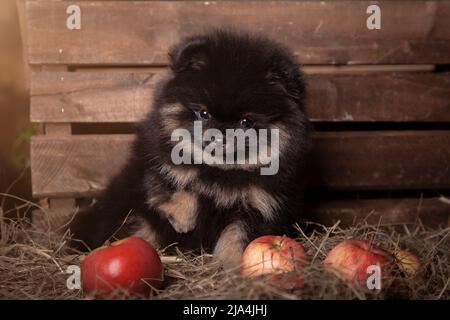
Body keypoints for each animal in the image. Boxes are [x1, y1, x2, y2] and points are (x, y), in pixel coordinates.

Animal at [69, 29, 310, 270]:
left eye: (246, 122)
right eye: (203, 113)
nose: (219, 134)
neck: (220, 172)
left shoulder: (259, 206)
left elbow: (237, 236)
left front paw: (231, 265)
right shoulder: (152, 163)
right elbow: (178, 181)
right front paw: (183, 218)